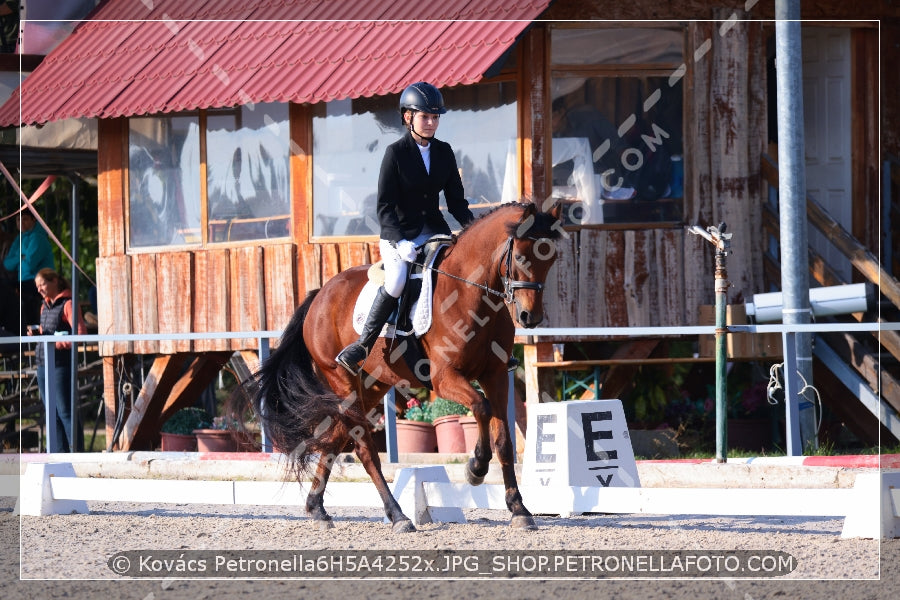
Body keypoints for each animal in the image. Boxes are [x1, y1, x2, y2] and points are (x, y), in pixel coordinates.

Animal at [246, 203, 564, 536]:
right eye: (521, 257)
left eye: (551, 258)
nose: (530, 317)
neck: (472, 293)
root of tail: (320, 294)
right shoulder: (444, 378)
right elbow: (481, 407)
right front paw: (476, 468)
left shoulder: (496, 376)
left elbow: (504, 441)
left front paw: (519, 510)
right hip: (342, 381)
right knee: (364, 449)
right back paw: (398, 515)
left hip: (372, 385)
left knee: (335, 437)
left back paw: (316, 508)